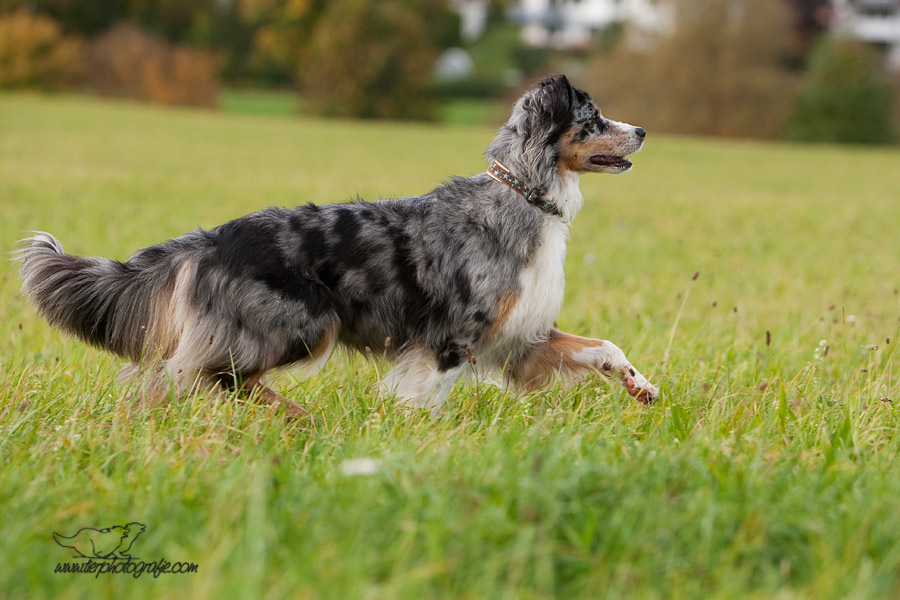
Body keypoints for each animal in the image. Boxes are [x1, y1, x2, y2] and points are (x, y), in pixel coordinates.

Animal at [15, 75, 660, 414]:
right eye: (594, 117)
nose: (643, 129)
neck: (524, 195)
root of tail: (209, 240)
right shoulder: (450, 339)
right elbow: (423, 400)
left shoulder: (520, 337)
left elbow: (603, 346)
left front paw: (641, 384)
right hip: (303, 324)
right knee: (194, 375)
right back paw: (291, 417)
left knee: (184, 378)